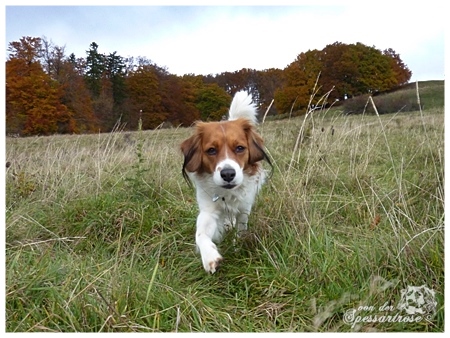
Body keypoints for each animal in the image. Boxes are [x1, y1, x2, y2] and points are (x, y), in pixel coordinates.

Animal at [180, 90, 270, 274]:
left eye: (240, 148)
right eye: (211, 150)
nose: (228, 174)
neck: (228, 194)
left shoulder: (244, 208)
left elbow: (241, 229)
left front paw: (237, 246)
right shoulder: (209, 210)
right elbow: (200, 234)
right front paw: (209, 256)